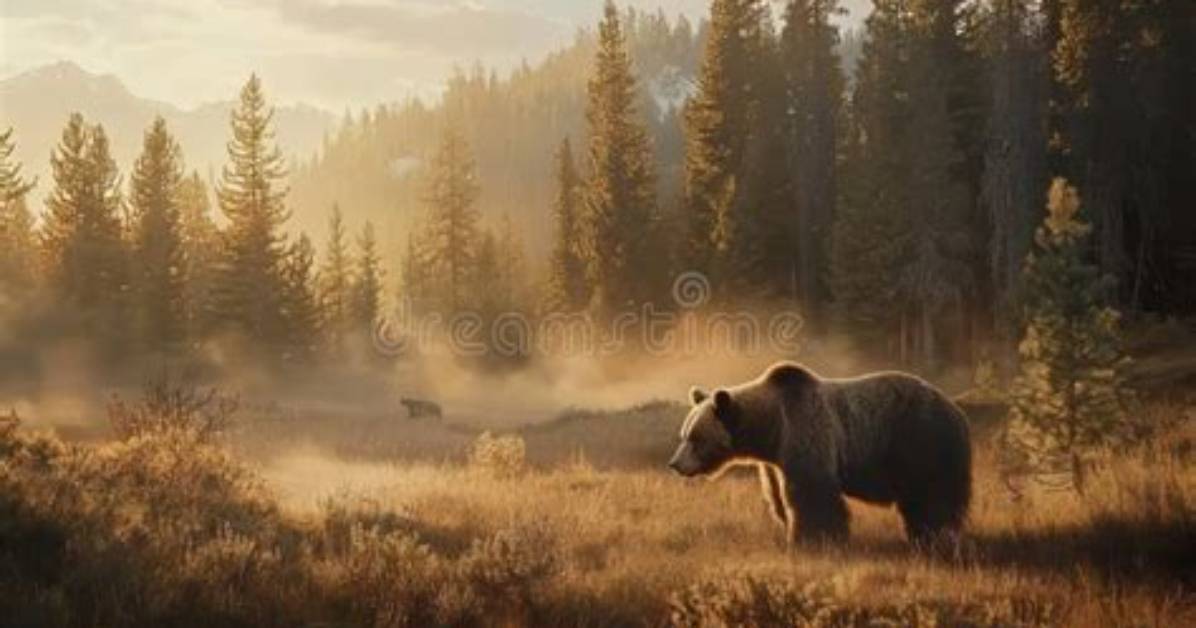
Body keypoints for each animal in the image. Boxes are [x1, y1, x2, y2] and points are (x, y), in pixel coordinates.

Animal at [668, 362, 972, 545]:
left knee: (932, 494)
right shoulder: (775, 458)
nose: (675, 464)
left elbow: (812, 490)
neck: (771, 426)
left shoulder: (805, 427)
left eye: (695, 438)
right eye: (683, 434)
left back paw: (932, 534)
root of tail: (957, 411)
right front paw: (788, 524)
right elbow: (777, 494)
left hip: (919, 439)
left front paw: (814, 537)